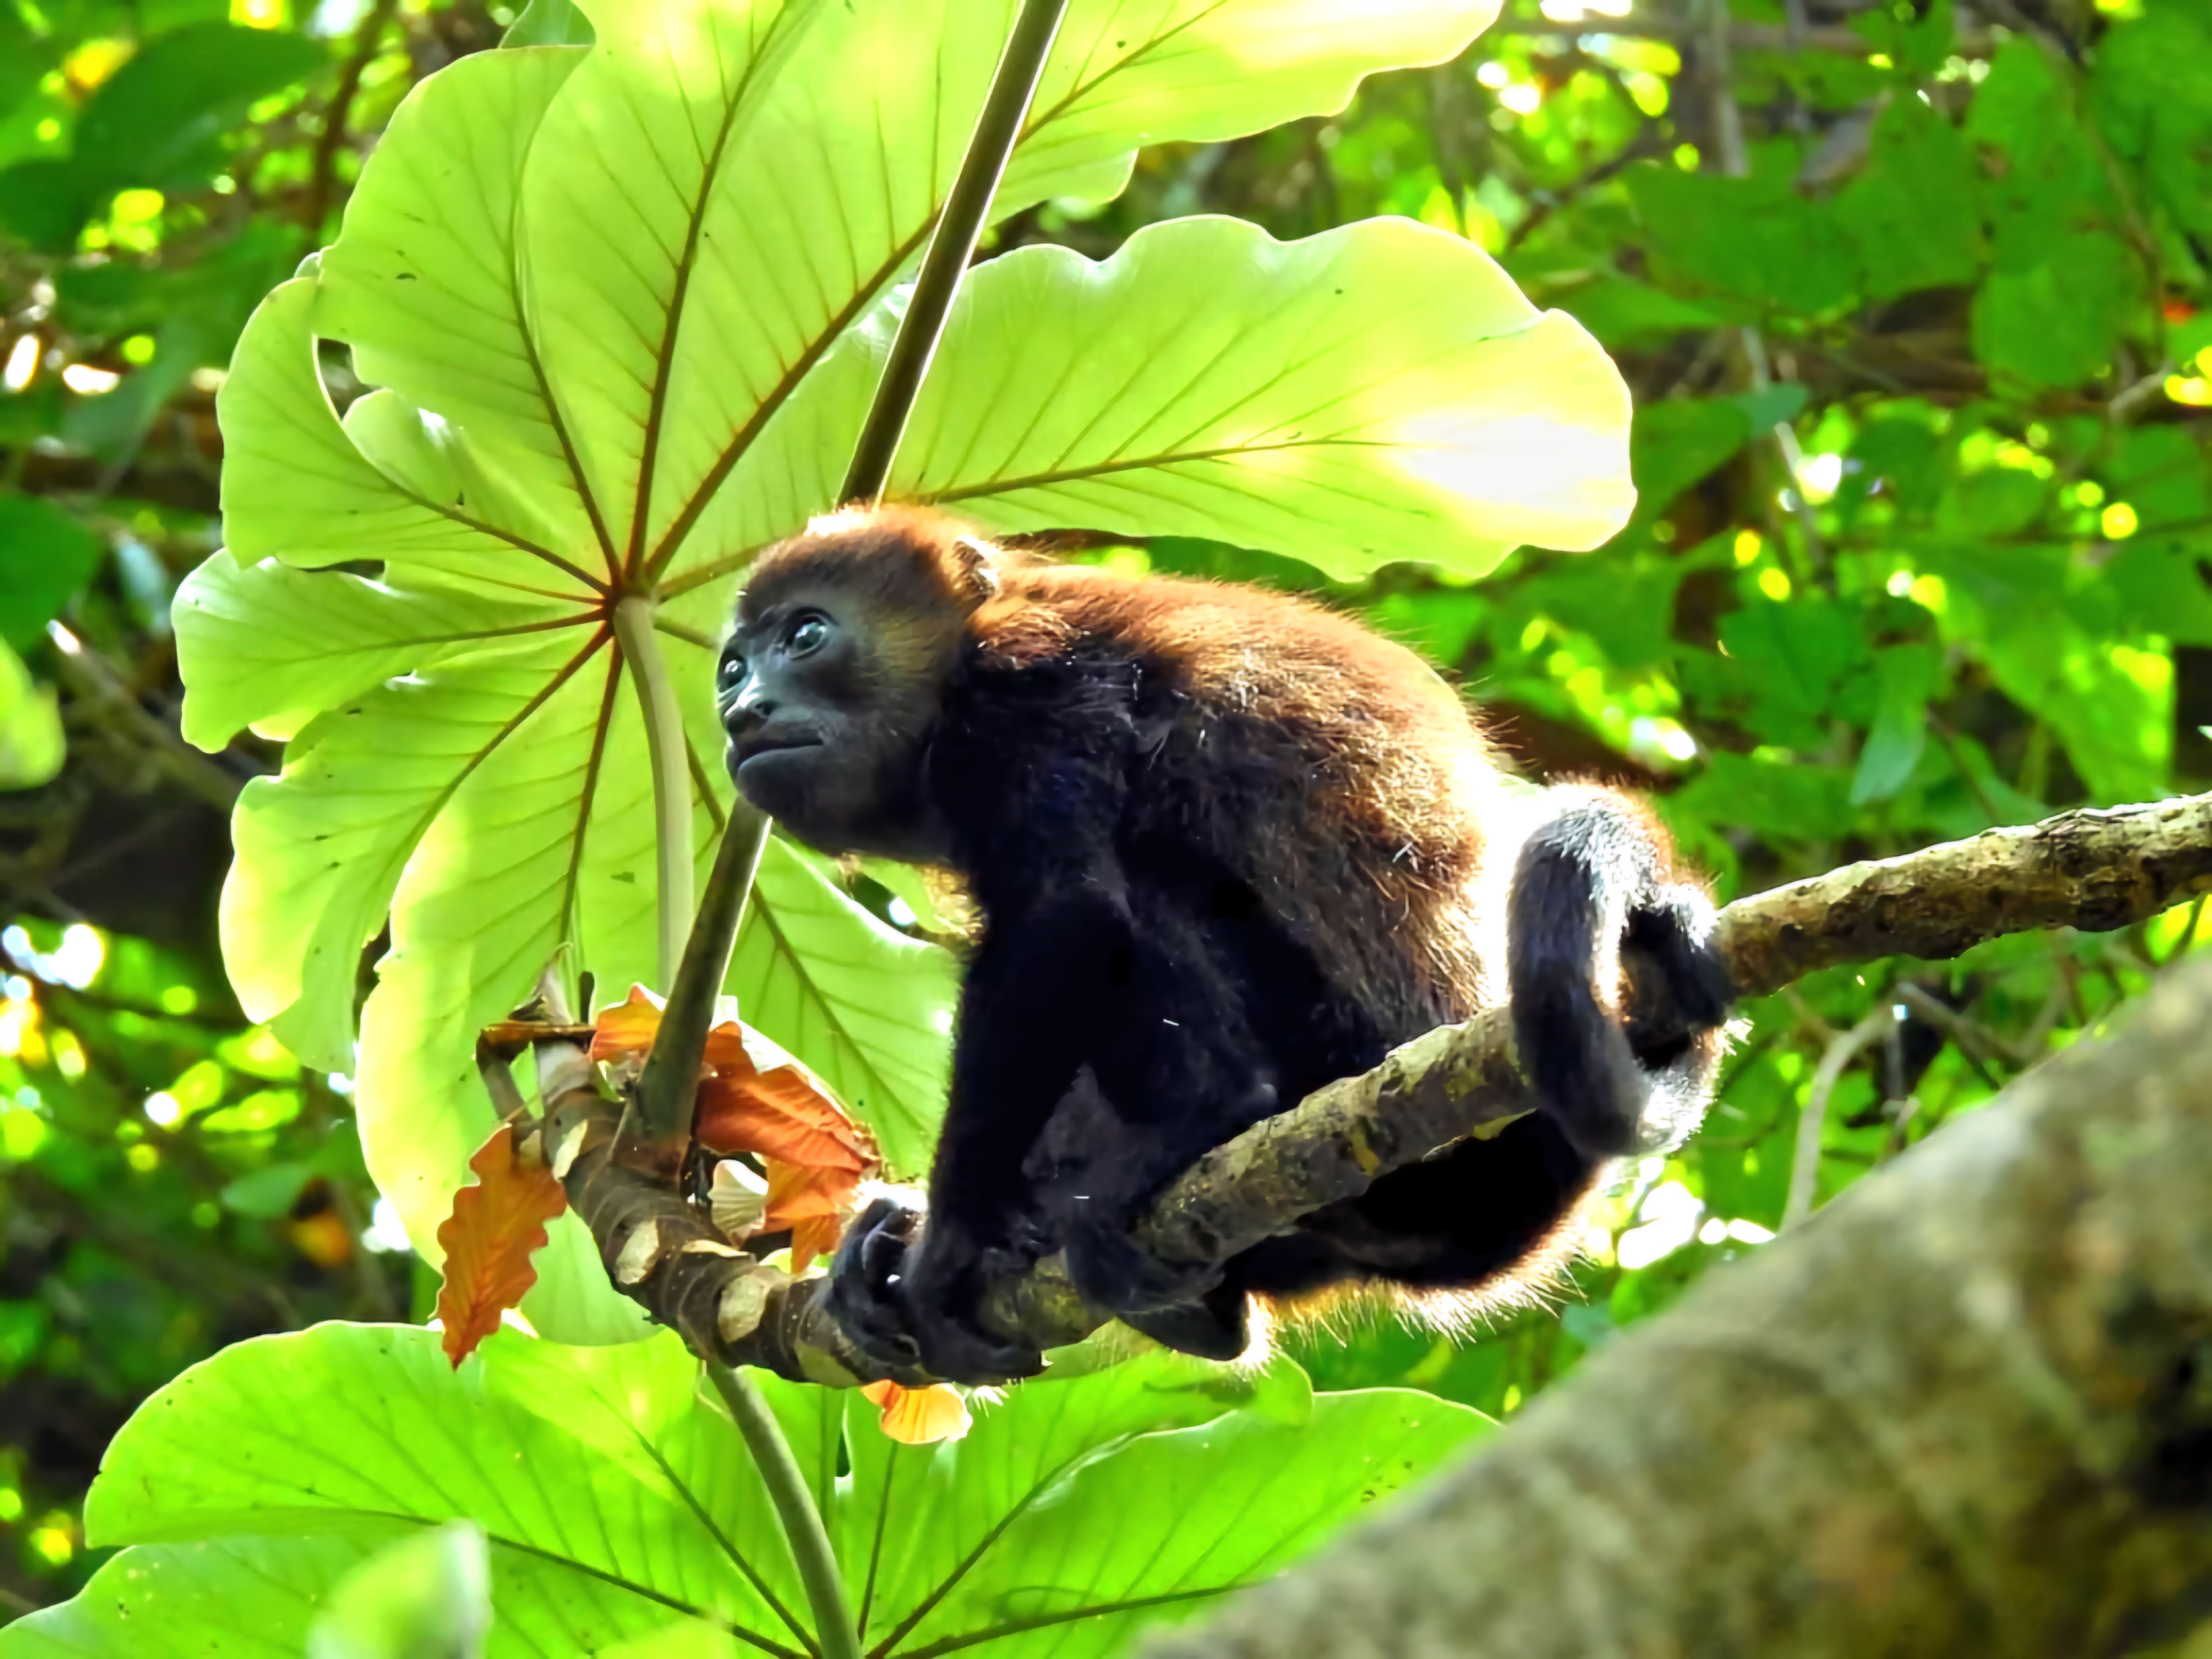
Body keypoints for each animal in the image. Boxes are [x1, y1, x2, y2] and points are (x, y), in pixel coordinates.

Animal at [717, 506, 1734, 1384]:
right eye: (731, 667)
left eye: (806, 636)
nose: (742, 711)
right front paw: (915, 1223)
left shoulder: (1033, 690)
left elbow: (1067, 917)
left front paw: (953, 1241)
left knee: (1150, 874)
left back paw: (1200, 1123)